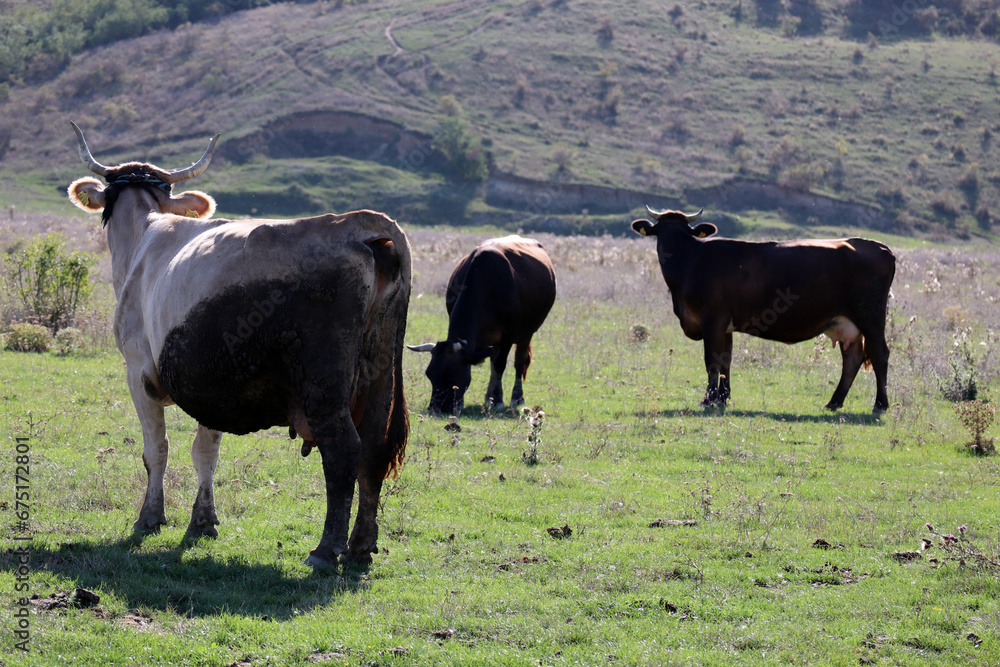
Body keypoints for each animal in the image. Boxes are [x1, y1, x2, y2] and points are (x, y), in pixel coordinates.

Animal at [66, 122, 411, 567]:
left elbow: (156, 449)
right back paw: (361, 547)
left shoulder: (138, 371)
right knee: (375, 449)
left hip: (324, 387)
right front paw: (202, 521)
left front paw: (149, 517)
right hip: (381, 375)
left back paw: (325, 550)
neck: (145, 236)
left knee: (344, 451)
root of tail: (357, 226)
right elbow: (205, 452)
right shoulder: (210, 387)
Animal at [408, 235, 556, 415]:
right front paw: (490, 397)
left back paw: (517, 397)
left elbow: (500, 364)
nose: (437, 409)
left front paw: (498, 400)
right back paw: (488, 396)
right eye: (429, 374)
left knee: (519, 360)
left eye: (453, 374)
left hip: (527, 333)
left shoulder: (508, 336)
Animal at [632, 207, 895, 413]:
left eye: (682, 233)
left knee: (880, 354)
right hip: (847, 324)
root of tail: (880, 247)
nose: (668, 252)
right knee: (852, 359)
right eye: (661, 231)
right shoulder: (726, 325)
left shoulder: (713, 319)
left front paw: (708, 399)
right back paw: (834, 402)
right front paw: (723, 398)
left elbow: (712, 361)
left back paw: (880, 405)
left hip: (871, 317)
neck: (691, 262)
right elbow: (726, 360)